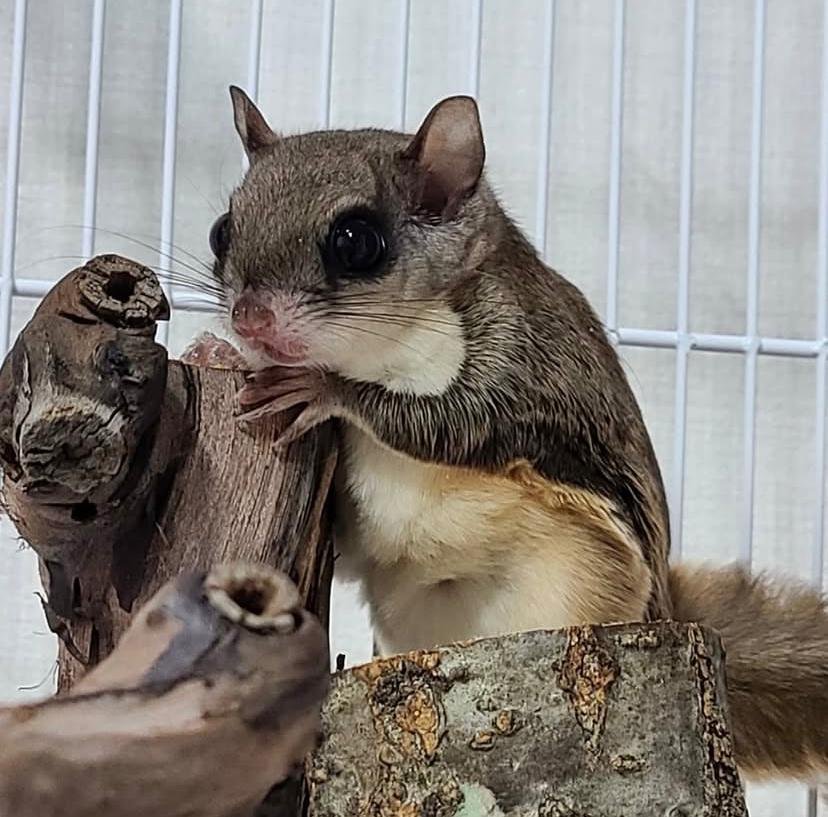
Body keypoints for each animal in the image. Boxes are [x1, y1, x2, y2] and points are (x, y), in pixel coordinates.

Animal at [184, 86, 828, 780]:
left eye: (355, 241)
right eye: (222, 230)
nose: (249, 318)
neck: (391, 341)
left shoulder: (517, 371)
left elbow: (444, 424)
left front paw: (320, 388)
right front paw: (219, 352)